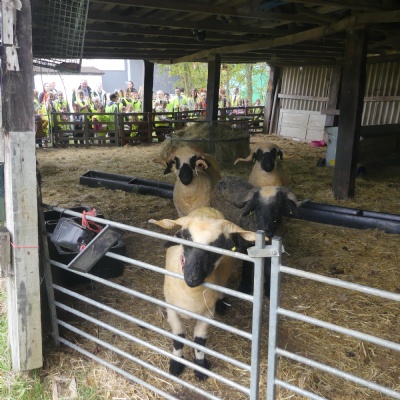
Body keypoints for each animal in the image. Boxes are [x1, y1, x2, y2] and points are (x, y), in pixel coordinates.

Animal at [149, 207, 257, 380]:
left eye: (219, 245)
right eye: (185, 237)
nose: (193, 277)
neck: (190, 293)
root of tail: (207, 208)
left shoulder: (207, 313)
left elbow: (200, 341)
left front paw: (200, 367)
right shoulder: (171, 309)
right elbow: (179, 338)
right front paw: (176, 364)